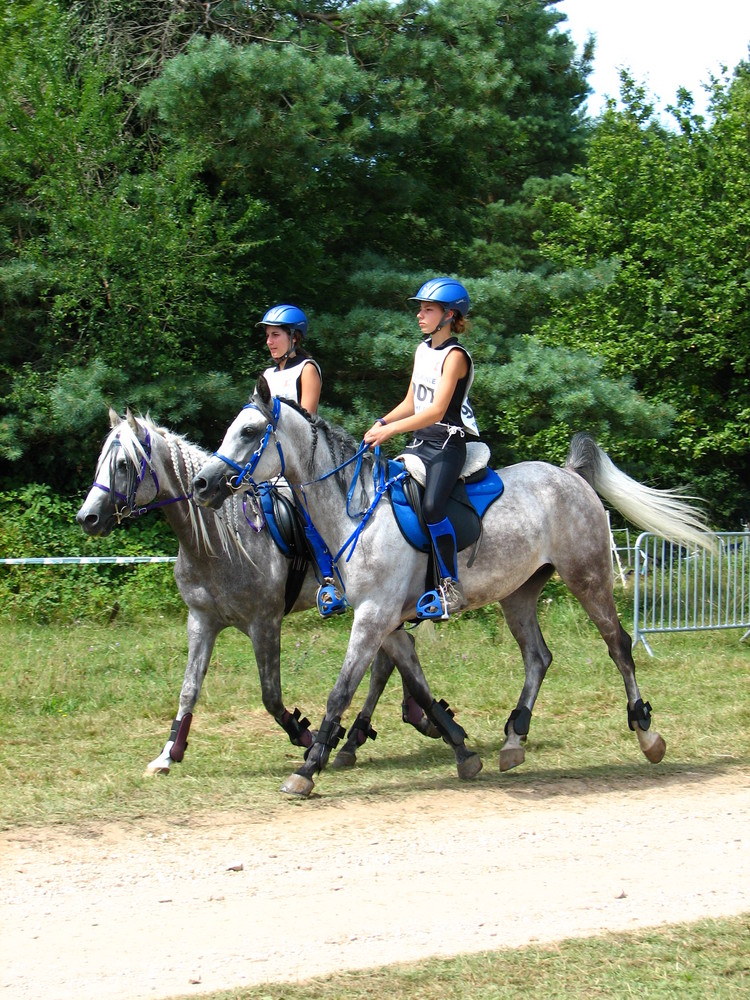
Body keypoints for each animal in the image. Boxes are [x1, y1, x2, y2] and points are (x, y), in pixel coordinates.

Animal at [76, 410, 446, 776]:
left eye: (124, 464)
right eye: (101, 461)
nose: (87, 518)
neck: (218, 543)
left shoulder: (264, 622)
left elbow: (271, 695)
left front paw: (306, 737)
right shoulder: (201, 621)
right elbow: (188, 689)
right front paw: (169, 752)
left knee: (383, 662)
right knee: (393, 654)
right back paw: (400, 722)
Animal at [191, 378, 712, 800]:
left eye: (250, 432)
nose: (201, 484)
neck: (355, 512)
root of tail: (568, 475)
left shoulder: (373, 617)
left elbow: (342, 691)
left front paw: (308, 768)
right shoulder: (387, 622)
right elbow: (416, 685)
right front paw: (462, 749)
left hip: (588, 577)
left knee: (618, 645)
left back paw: (646, 734)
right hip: (519, 593)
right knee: (538, 657)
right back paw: (513, 740)